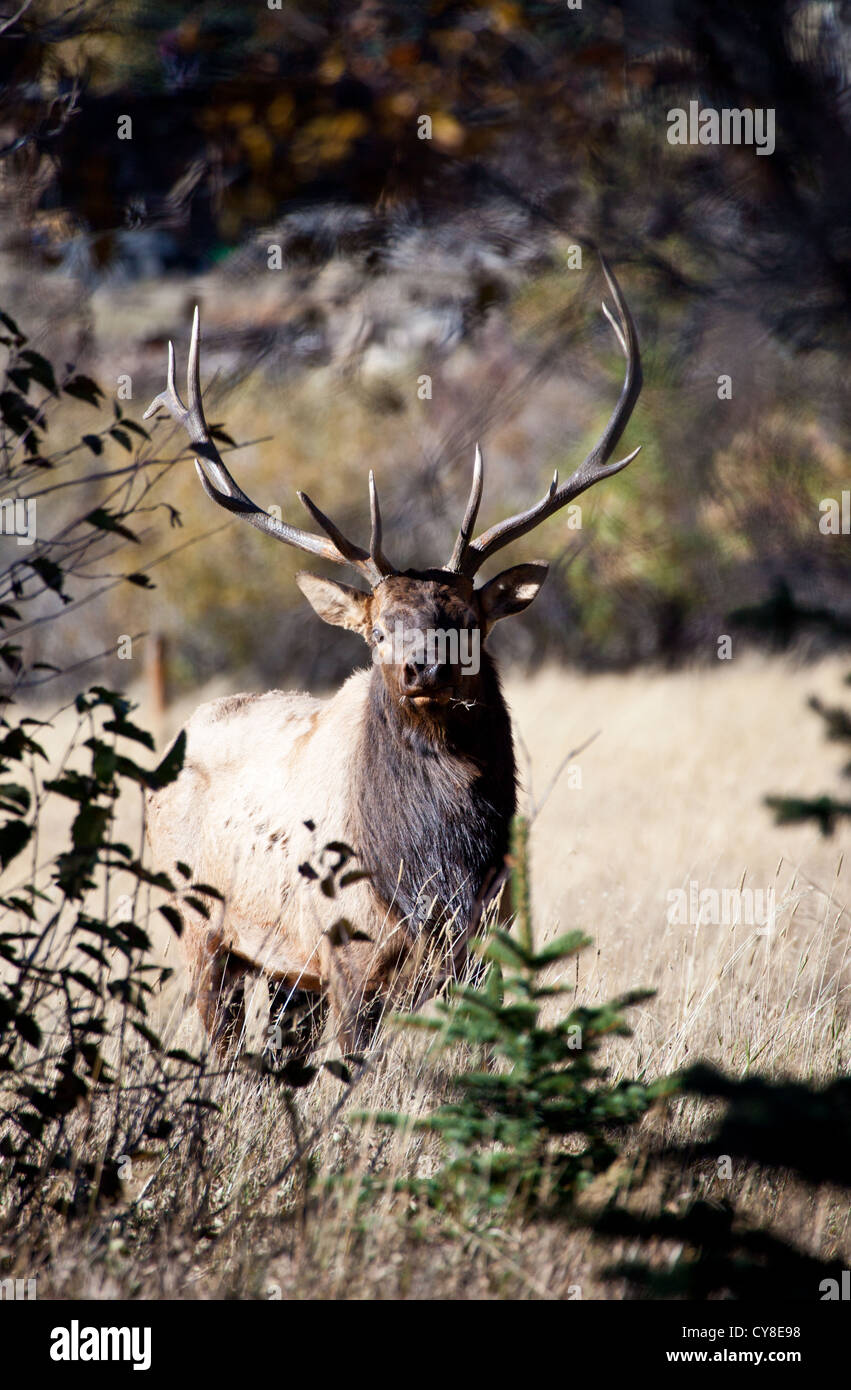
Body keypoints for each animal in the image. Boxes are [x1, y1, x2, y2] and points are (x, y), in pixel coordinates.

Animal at [143, 255, 642, 1050]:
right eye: (377, 630)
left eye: (466, 619)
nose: (423, 667)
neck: (431, 874)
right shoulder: (347, 955)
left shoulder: (486, 945)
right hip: (201, 928)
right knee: (221, 1039)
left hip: (286, 973)